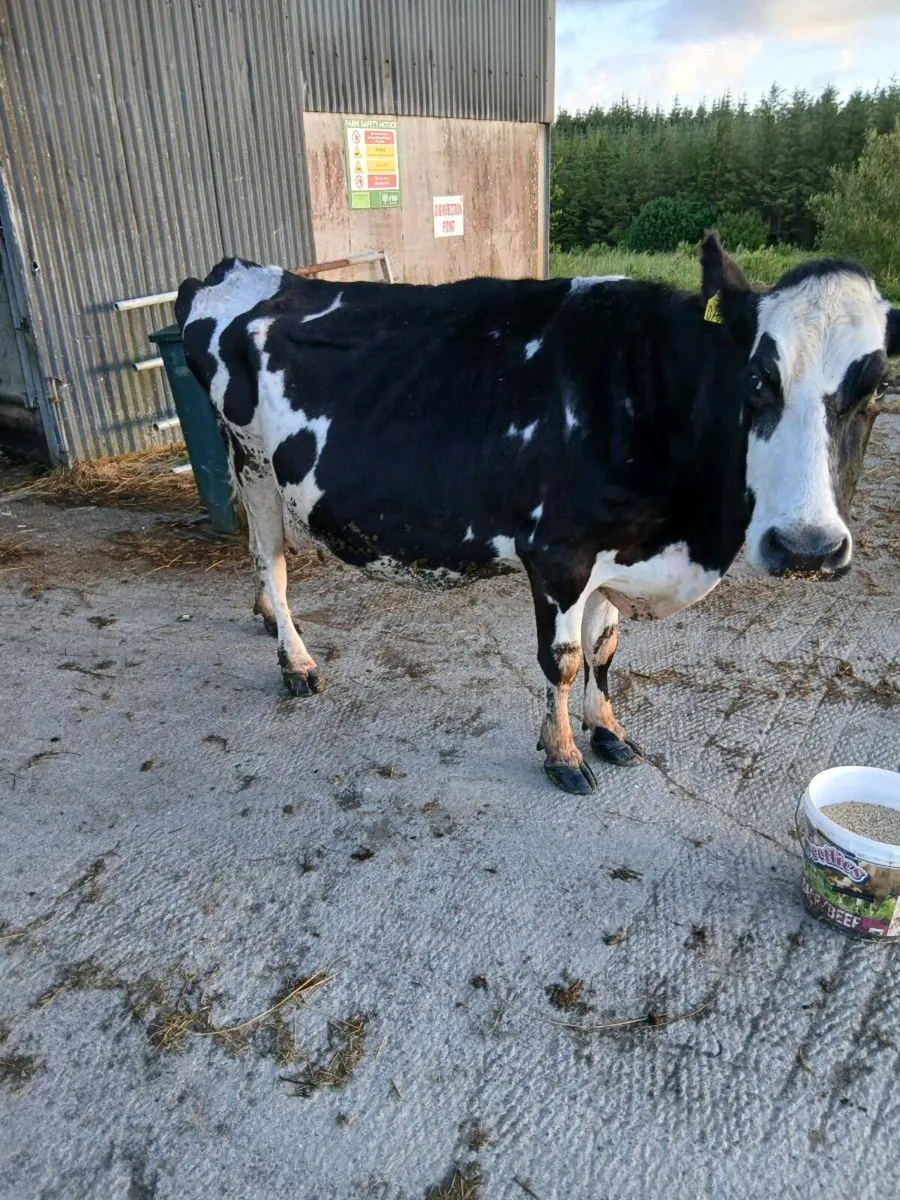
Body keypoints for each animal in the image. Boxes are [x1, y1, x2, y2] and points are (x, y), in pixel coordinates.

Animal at [175, 234, 899, 795]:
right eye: (756, 381)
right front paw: (563, 754)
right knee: (270, 559)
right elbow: (566, 658)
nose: (807, 547)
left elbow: (606, 648)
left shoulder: (616, 552)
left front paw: (607, 731)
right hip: (250, 458)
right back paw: (294, 660)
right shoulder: (558, 553)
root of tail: (238, 269)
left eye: (877, 388)